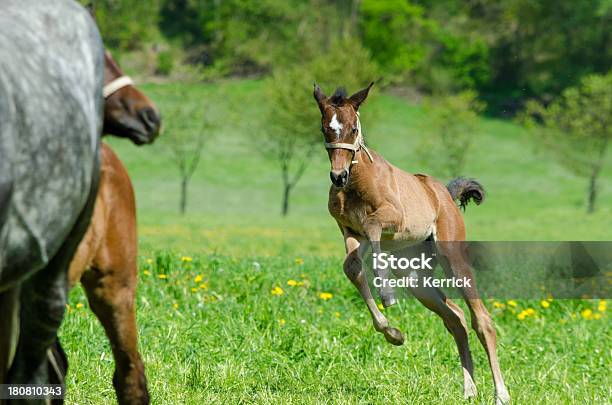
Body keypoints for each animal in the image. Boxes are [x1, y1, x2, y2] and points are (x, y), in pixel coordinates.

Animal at [314, 83, 510, 404]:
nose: (338, 176)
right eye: (324, 129)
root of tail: (445, 194)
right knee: (456, 318)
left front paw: (387, 292)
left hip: (452, 256)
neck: (358, 182)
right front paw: (393, 333)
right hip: (417, 278)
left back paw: (501, 393)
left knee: (481, 319)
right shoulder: (349, 230)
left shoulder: (392, 218)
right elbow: (352, 266)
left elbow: (372, 229)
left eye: (353, 128)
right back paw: (469, 390)